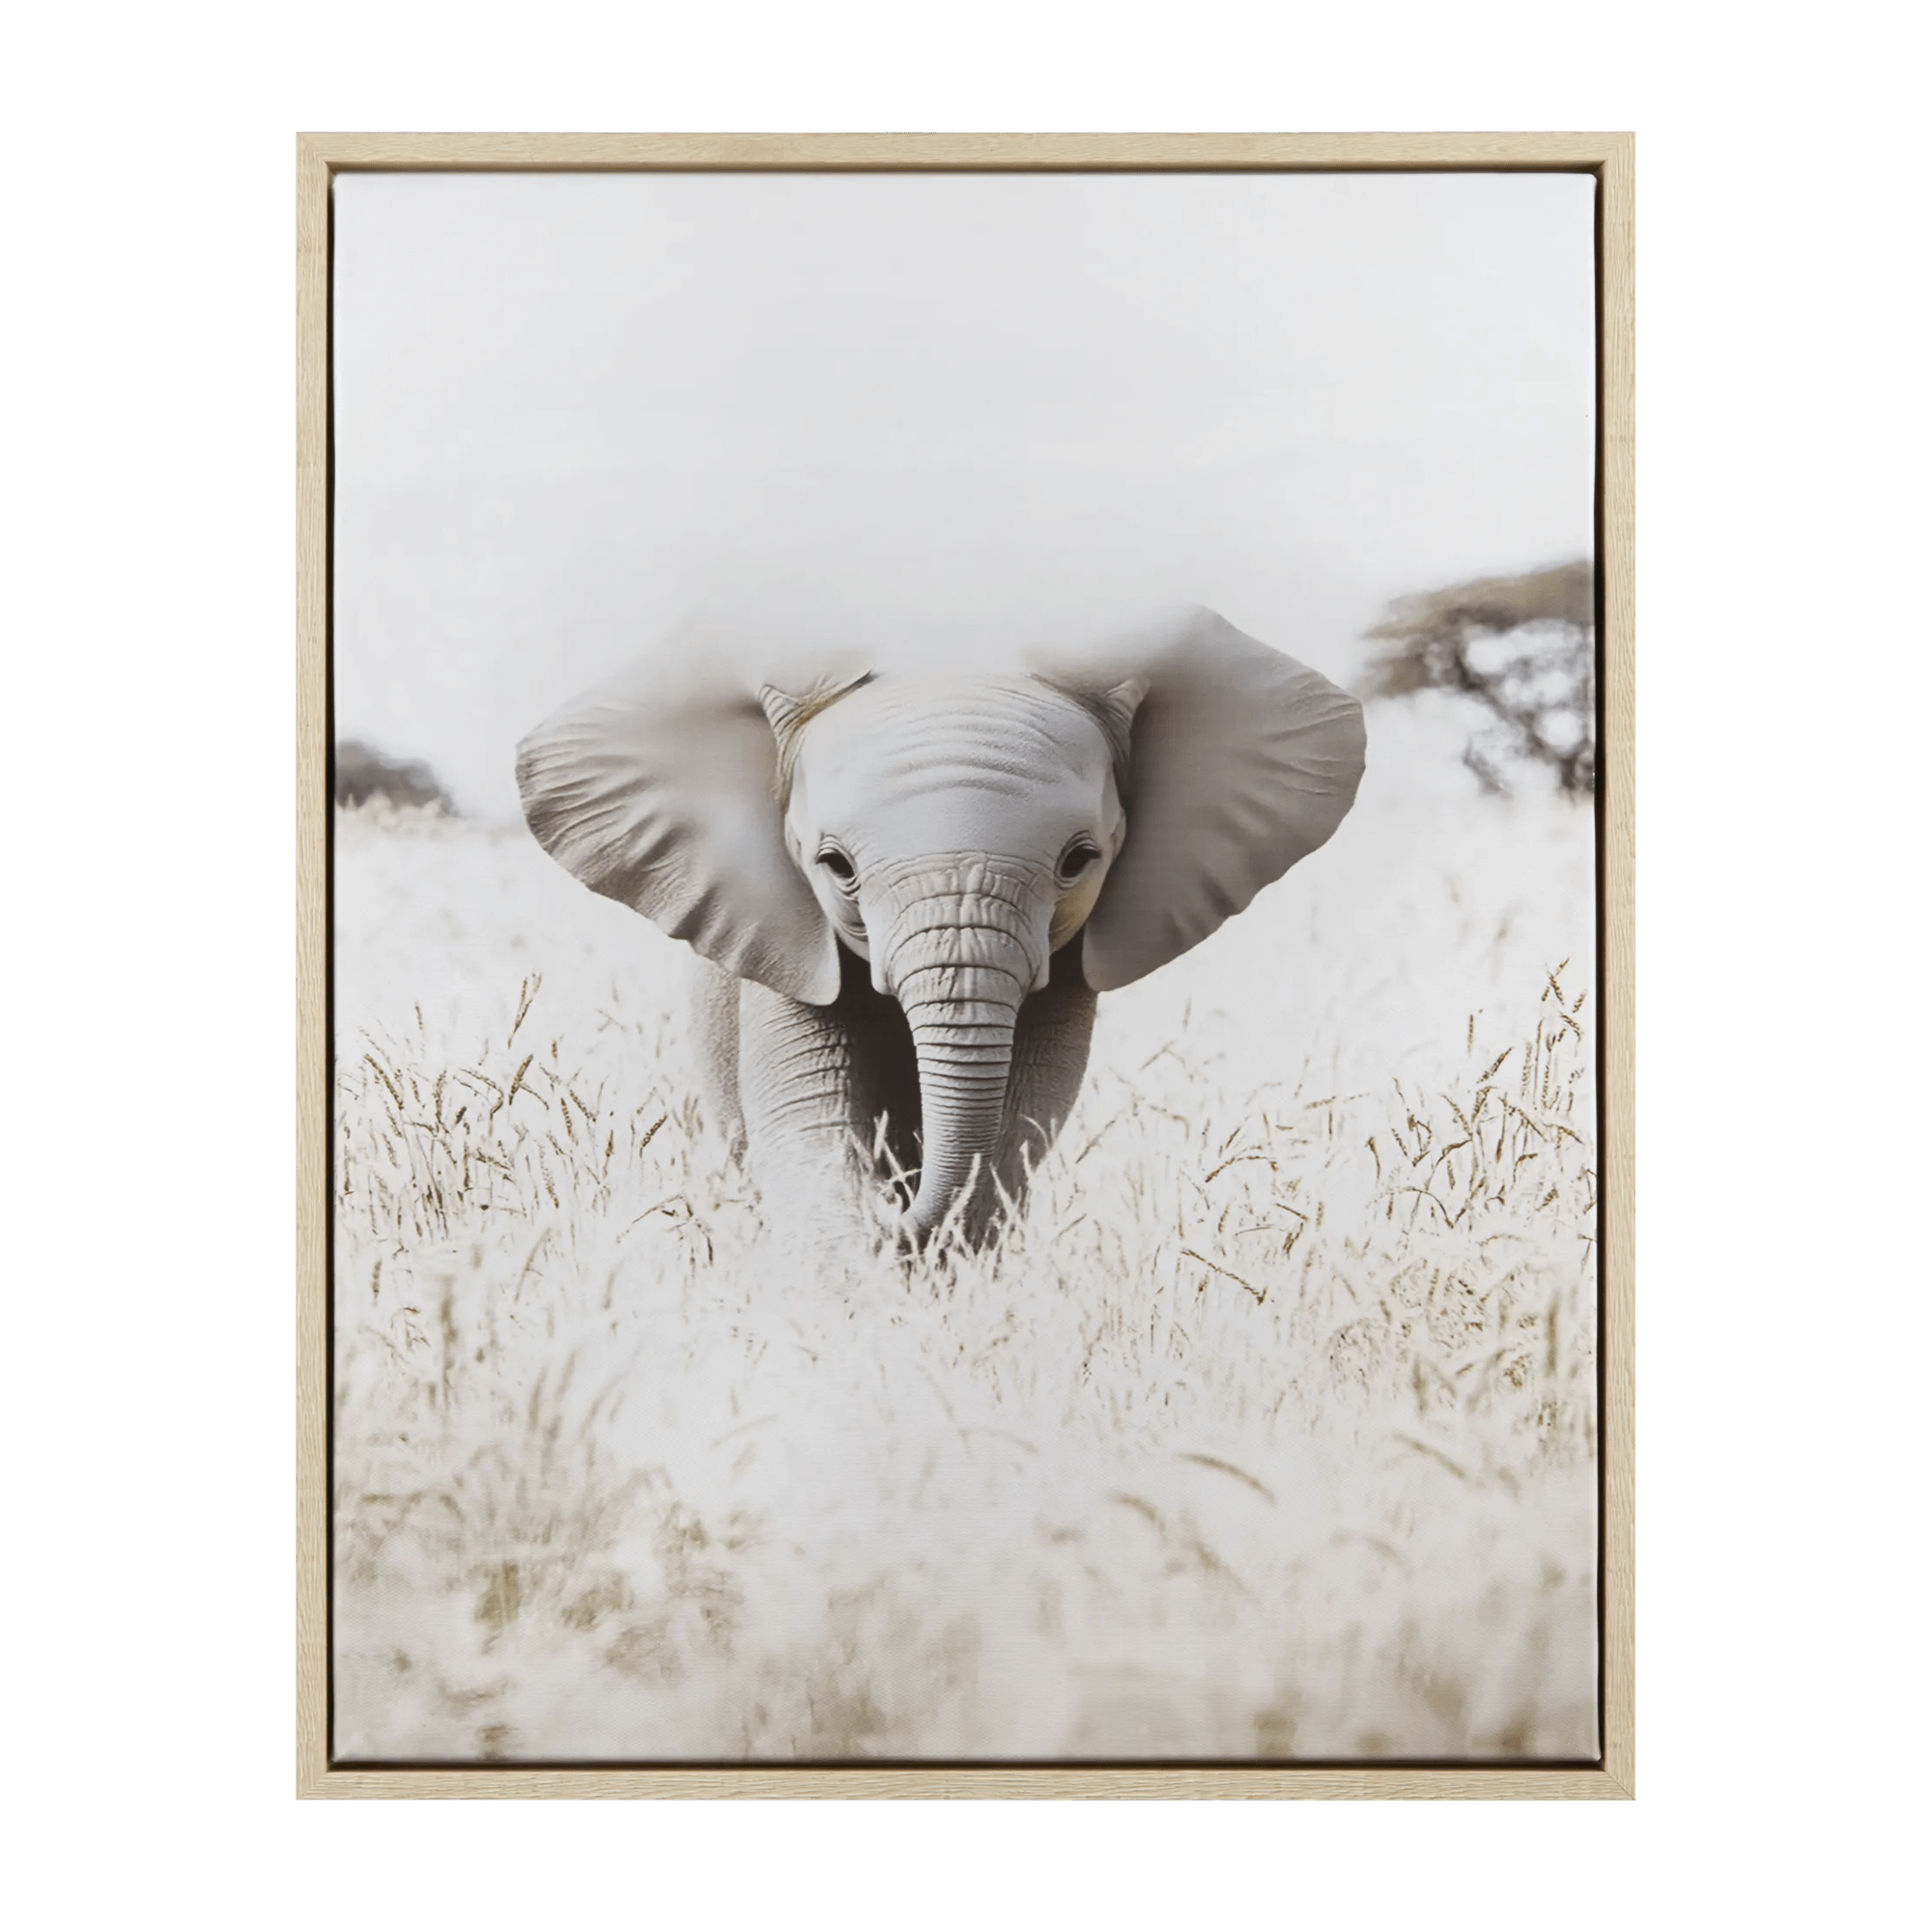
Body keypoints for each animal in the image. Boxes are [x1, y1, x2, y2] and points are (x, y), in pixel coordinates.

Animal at [516, 608, 1366, 1252]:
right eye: (834, 865)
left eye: (1079, 861)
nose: (896, 1208)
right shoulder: (789, 941)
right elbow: (812, 1127)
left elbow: (1015, 1130)